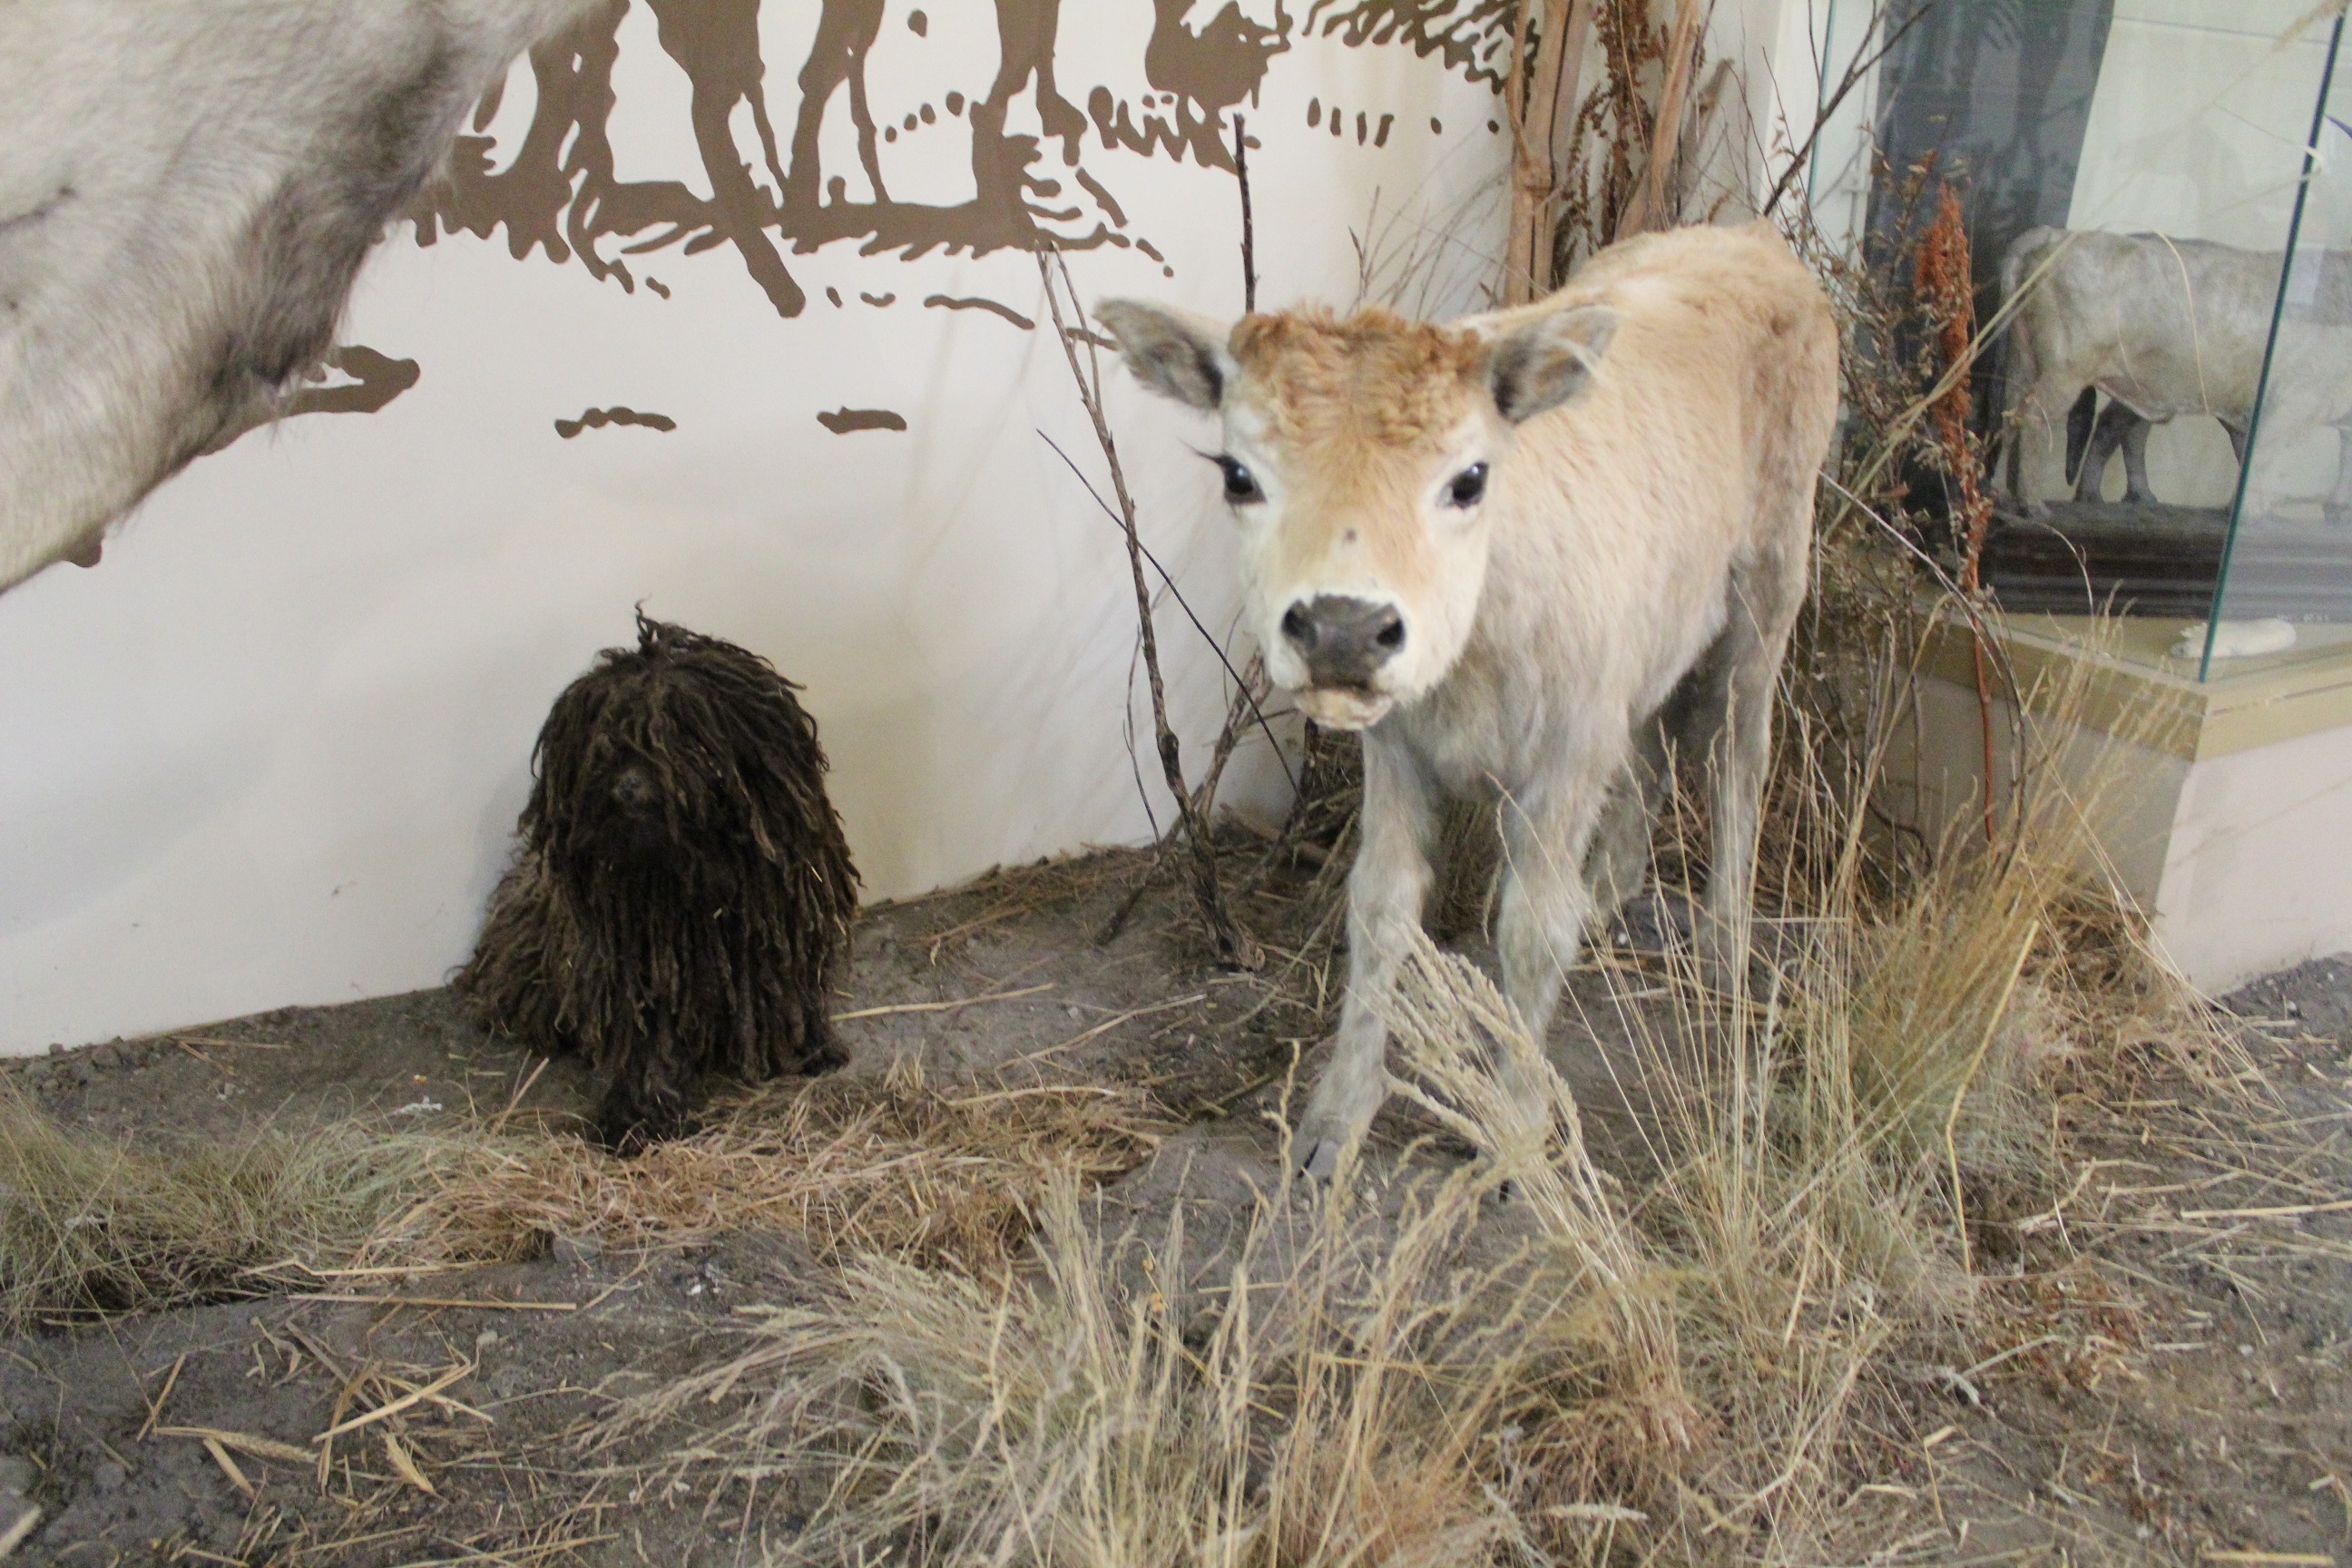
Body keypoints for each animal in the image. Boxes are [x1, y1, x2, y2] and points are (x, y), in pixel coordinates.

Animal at [461, 615, 865, 1152]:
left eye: (679, 732)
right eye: (604, 738)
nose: (627, 786)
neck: (689, 876)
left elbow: (789, 996)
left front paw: (810, 1049)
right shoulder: (638, 969)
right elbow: (646, 1044)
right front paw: (638, 1116)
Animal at [1095, 220, 1834, 1175]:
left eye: (1470, 479)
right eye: (1237, 475)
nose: (1342, 628)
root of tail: (1744, 235)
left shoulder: (1562, 762)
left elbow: (1531, 929)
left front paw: (1515, 1139)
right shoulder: (1398, 751)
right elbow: (1380, 909)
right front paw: (1334, 1123)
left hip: (1772, 579)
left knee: (1737, 752)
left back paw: (1723, 956)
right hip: (1646, 639)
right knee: (1650, 748)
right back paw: (1614, 895)